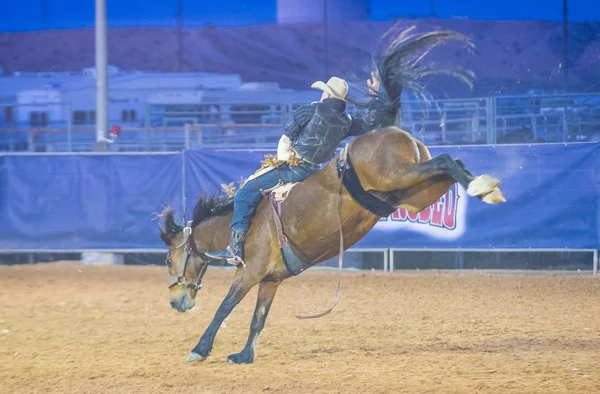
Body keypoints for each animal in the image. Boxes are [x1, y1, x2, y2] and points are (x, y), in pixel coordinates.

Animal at [159, 23, 506, 364]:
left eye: (168, 259)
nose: (175, 302)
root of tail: (392, 129)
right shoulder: (271, 280)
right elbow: (259, 317)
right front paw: (244, 355)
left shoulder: (250, 272)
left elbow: (224, 308)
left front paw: (199, 349)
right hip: (416, 194)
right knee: (450, 166)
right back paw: (484, 187)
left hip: (401, 176)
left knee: (446, 160)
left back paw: (481, 186)